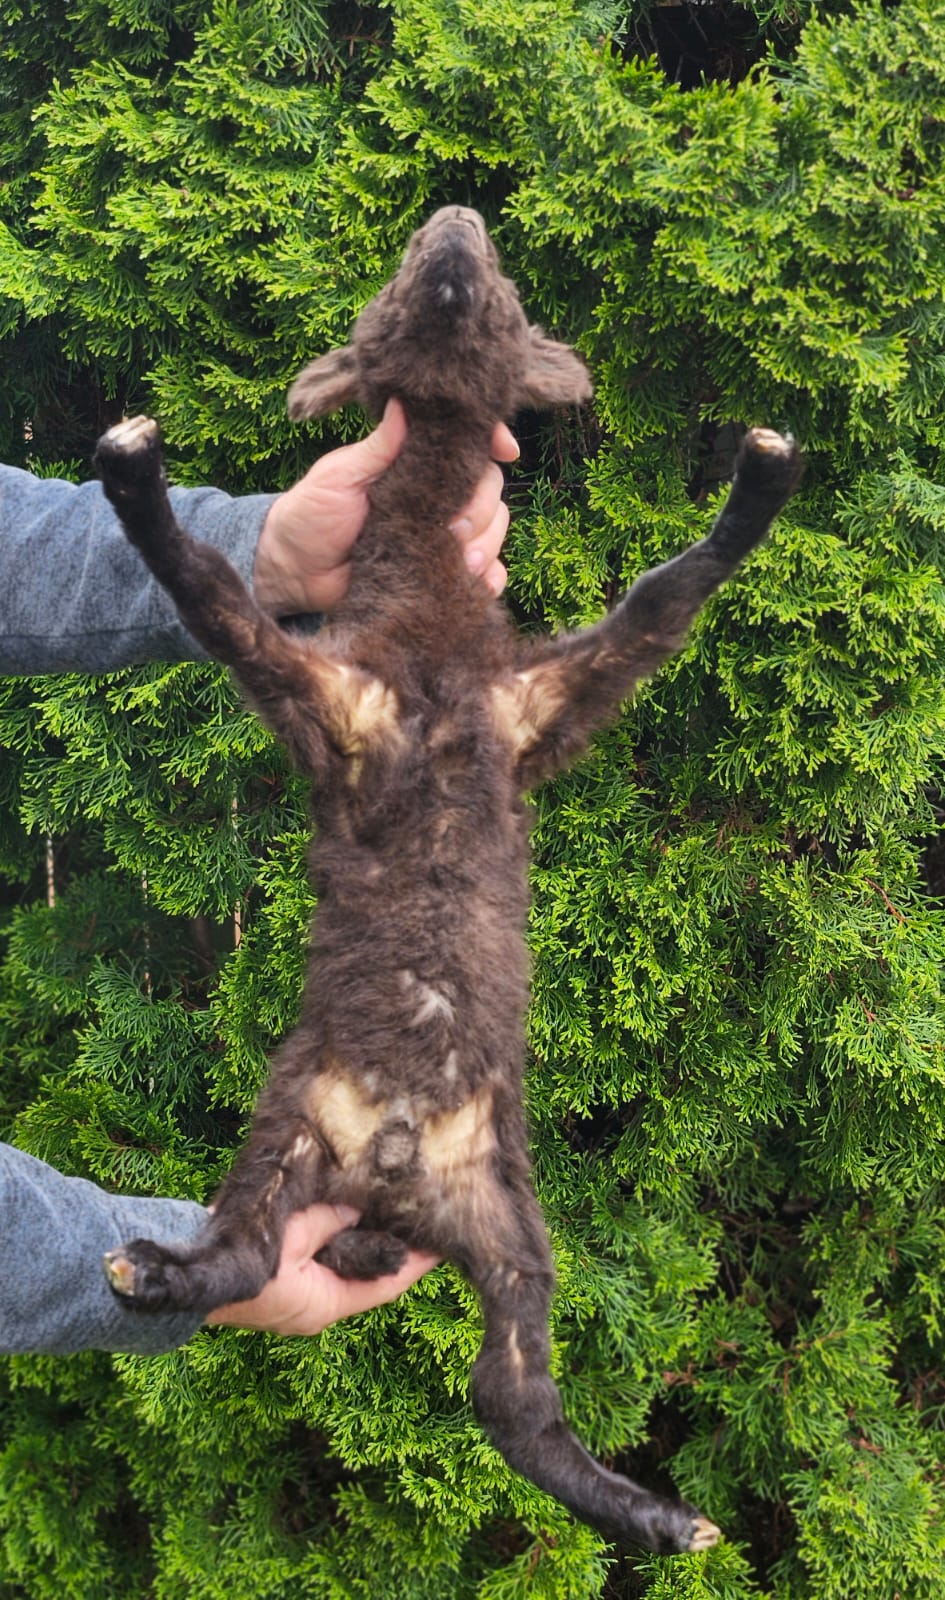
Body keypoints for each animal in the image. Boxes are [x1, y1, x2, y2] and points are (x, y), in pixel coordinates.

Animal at [94, 204, 801, 1555]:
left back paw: (649, 1514)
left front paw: (764, 478)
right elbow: (210, 593)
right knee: (251, 1265)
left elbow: (665, 594)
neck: (430, 636)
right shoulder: (323, 693)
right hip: (288, 1130)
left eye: (504, 288)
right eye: (389, 292)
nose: (461, 220)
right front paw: (131, 469)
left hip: (516, 1232)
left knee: (510, 1398)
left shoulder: (545, 701)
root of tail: (398, 1179)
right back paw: (157, 1269)